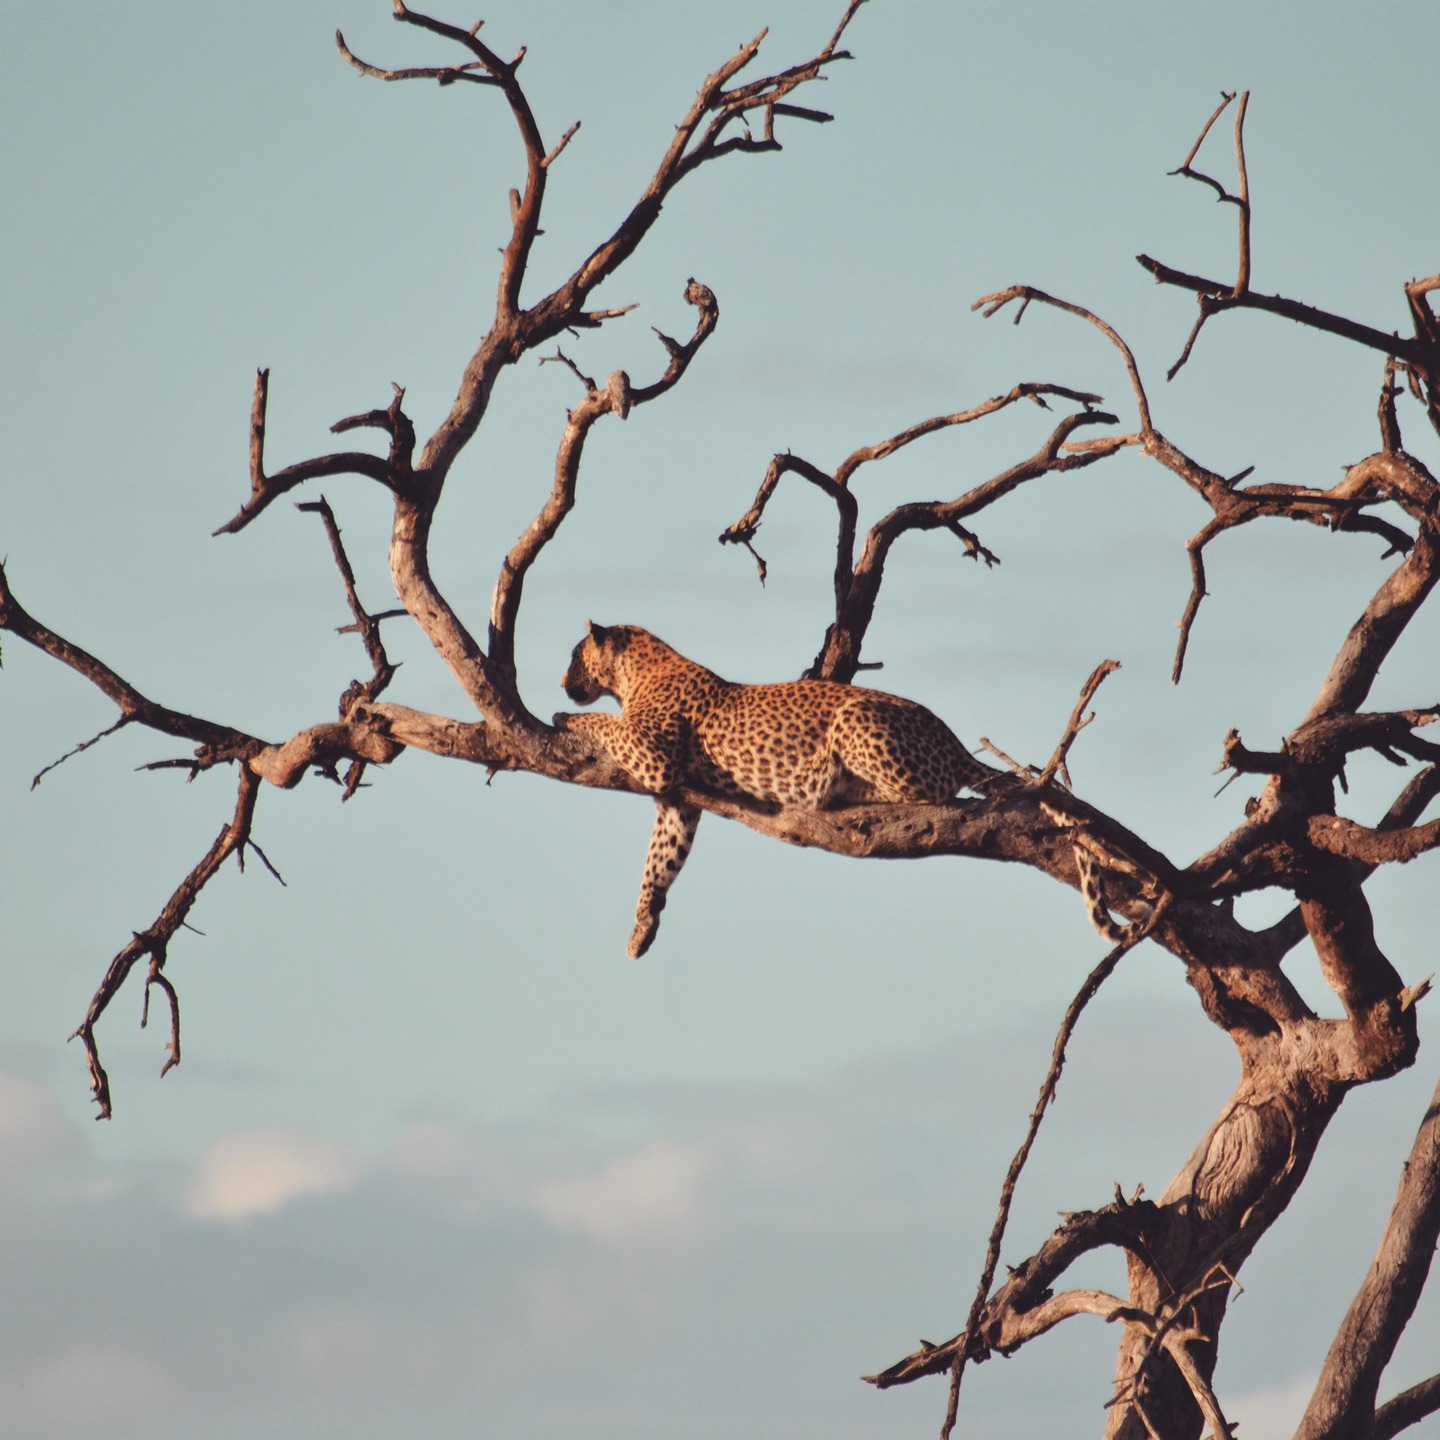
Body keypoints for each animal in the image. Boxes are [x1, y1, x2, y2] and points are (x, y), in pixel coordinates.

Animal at [557, 621, 998, 957]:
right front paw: (642, 929)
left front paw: (565, 717)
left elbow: (606, 722)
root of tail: (953, 738)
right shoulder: (675, 803)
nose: (562, 683)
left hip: (855, 717)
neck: (633, 676)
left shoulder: (654, 756)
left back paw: (832, 782)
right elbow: (659, 861)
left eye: (575, 657)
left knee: (930, 790)